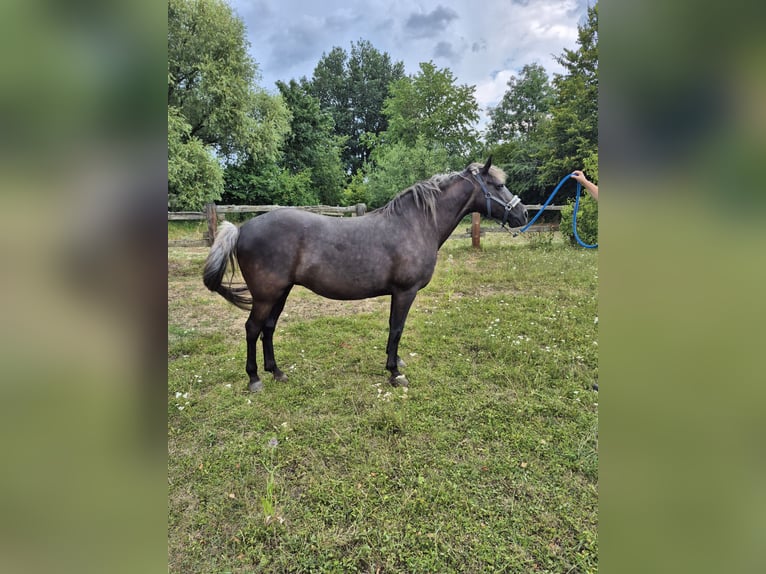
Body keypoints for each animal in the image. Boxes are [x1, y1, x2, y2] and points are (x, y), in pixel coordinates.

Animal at [203, 157, 528, 392]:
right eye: (499, 185)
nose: (523, 214)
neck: (416, 224)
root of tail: (242, 229)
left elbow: (395, 329)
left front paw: (395, 362)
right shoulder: (404, 292)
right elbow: (396, 328)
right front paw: (394, 373)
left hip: (280, 293)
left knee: (268, 329)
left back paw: (277, 372)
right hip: (266, 295)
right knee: (252, 329)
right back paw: (255, 379)